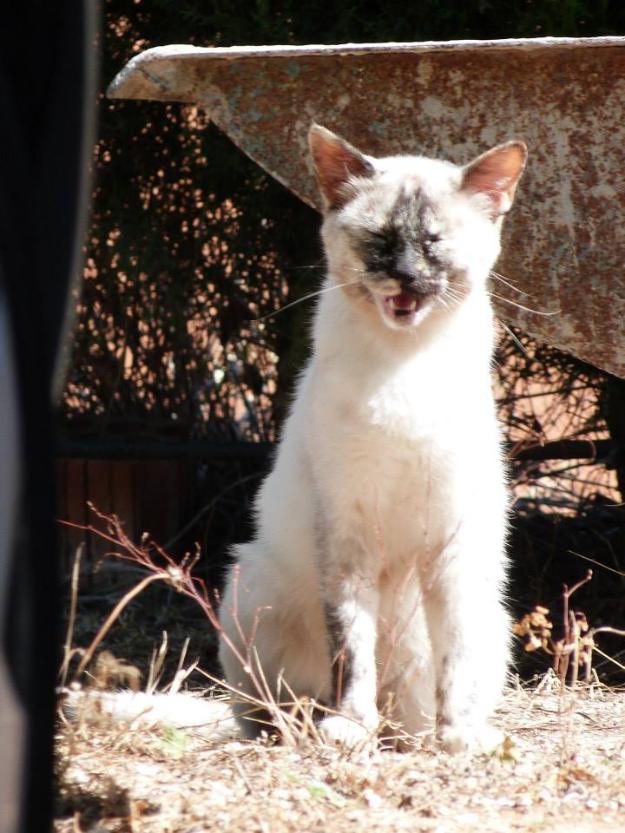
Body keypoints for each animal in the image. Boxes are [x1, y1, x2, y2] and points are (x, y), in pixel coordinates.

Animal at [219, 123, 528, 752]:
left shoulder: (453, 544)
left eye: (433, 242)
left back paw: (422, 735)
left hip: (491, 613)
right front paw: (349, 728)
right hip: (249, 583)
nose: (405, 275)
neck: (403, 362)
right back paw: (321, 728)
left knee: (418, 697)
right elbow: (352, 647)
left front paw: (458, 738)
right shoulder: (347, 534)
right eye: (381, 240)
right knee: (271, 707)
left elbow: (453, 660)